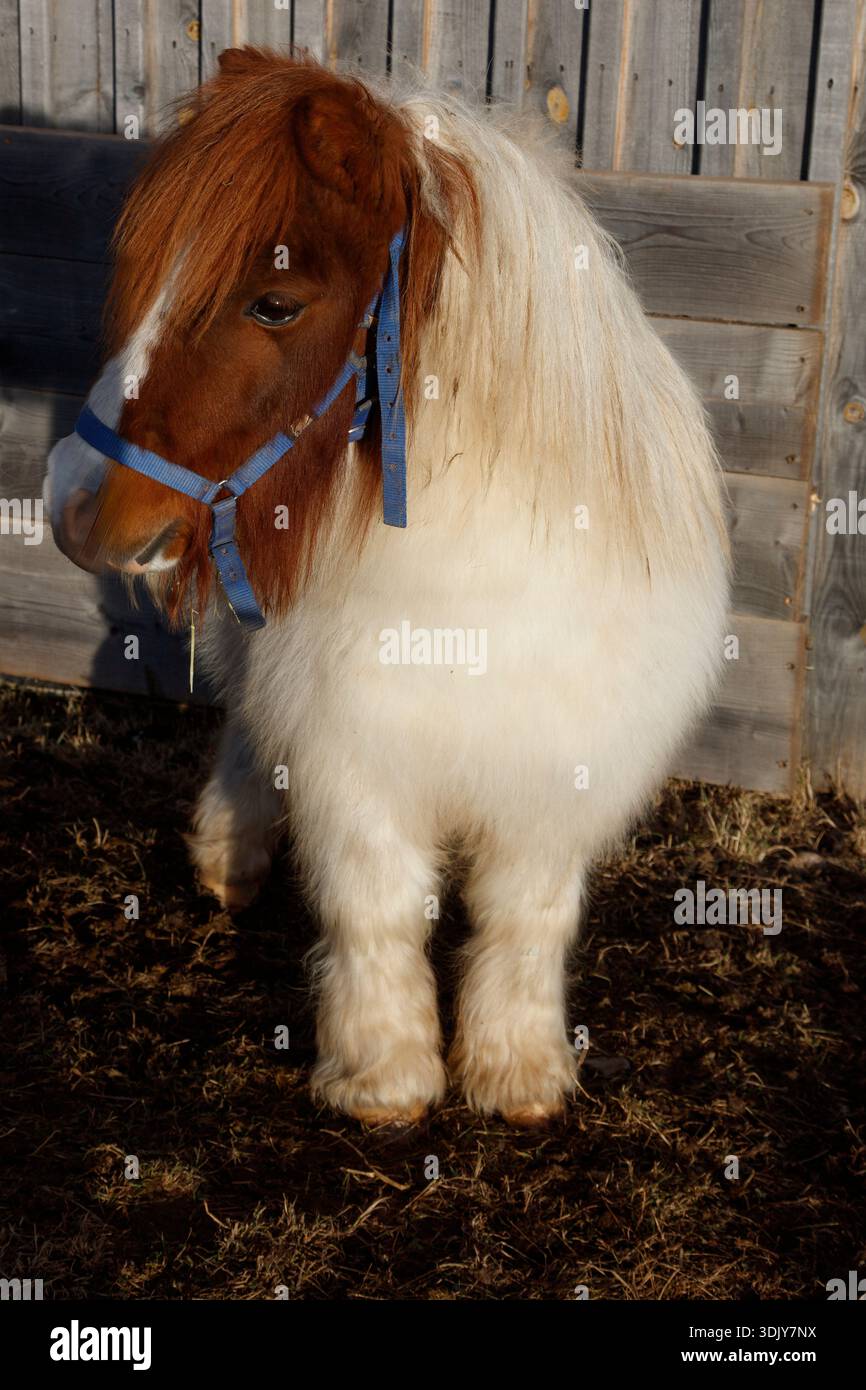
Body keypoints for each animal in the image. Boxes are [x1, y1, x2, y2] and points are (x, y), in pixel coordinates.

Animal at [45, 48, 729, 1127]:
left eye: (274, 303)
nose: (69, 506)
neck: (474, 603)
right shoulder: (354, 756)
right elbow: (378, 908)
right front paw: (383, 1073)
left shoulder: (558, 771)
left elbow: (524, 915)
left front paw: (516, 1070)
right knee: (248, 730)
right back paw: (230, 854)